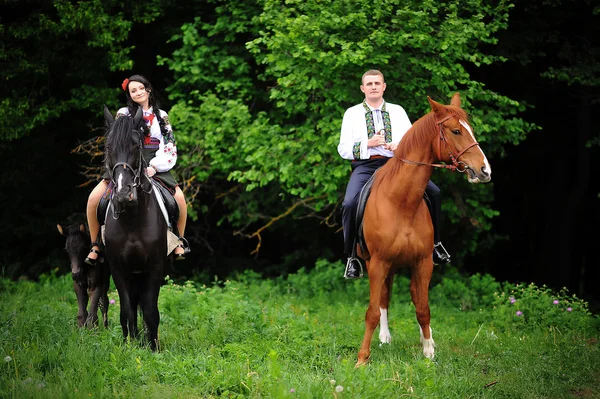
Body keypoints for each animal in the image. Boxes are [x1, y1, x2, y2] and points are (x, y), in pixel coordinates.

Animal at [102, 105, 169, 350]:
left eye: (136, 145)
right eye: (108, 146)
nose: (124, 193)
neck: (132, 220)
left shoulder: (155, 267)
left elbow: (150, 311)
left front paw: (154, 348)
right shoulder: (118, 268)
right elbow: (126, 311)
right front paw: (129, 345)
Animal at [356, 93, 488, 366]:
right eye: (456, 131)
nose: (485, 170)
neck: (401, 202)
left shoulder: (423, 263)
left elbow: (423, 307)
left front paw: (428, 351)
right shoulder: (378, 263)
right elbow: (373, 310)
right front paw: (362, 358)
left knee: (415, 297)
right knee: (384, 298)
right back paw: (384, 337)